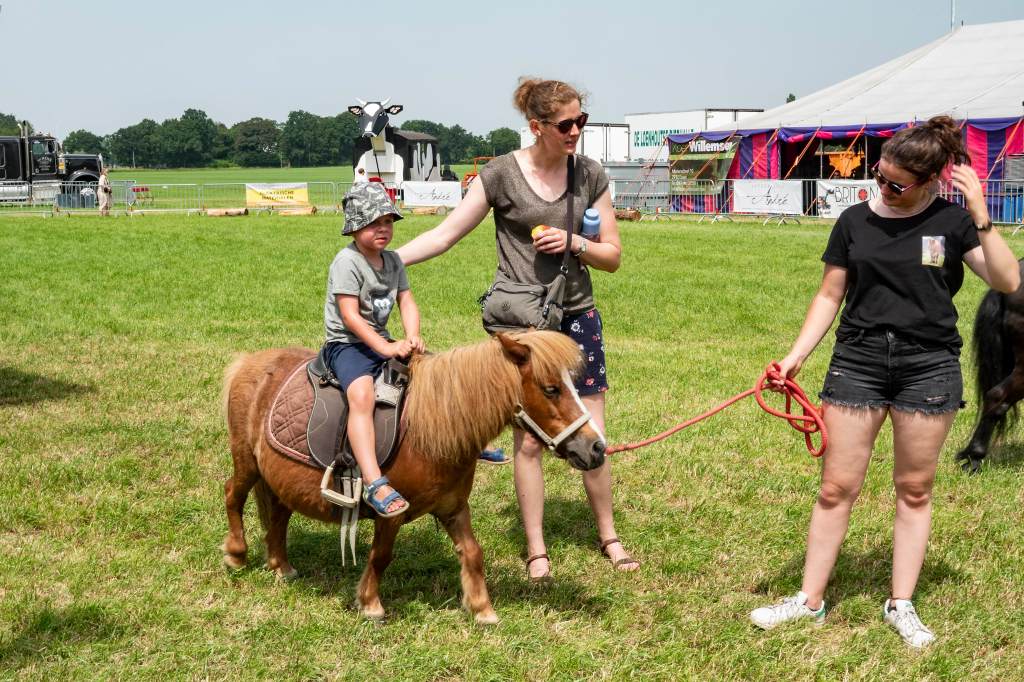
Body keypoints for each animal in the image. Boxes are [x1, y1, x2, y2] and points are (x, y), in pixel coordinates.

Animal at [220, 331, 607, 623]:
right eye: (551, 389)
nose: (596, 448)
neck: (431, 427)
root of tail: (249, 363)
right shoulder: (391, 516)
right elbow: (381, 556)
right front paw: (371, 604)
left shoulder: (453, 508)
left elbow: (473, 552)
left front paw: (482, 608)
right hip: (246, 461)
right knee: (232, 495)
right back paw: (236, 556)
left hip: (278, 478)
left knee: (278, 515)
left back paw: (281, 566)